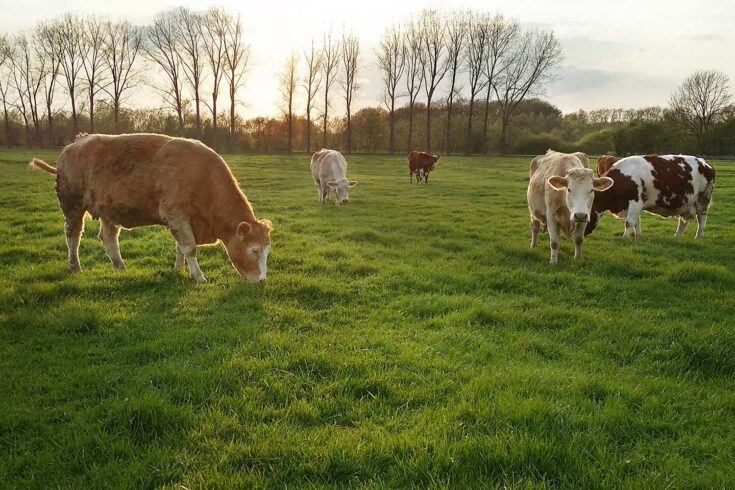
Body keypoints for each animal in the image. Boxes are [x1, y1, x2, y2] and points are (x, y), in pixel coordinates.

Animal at [29, 132, 274, 284]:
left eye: (267, 250)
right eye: (254, 250)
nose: (262, 280)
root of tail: (74, 144)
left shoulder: (182, 221)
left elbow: (180, 247)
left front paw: (178, 269)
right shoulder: (177, 215)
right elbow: (190, 248)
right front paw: (199, 276)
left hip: (107, 212)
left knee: (108, 239)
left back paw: (121, 267)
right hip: (72, 205)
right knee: (73, 236)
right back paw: (75, 267)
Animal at [584, 153, 716, 237]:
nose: (584, 233)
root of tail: (705, 163)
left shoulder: (635, 202)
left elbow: (629, 222)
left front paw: (625, 237)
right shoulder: (634, 205)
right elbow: (637, 221)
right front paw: (638, 236)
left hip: (703, 199)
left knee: (702, 219)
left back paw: (698, 237)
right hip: (685, 203)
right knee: (683, 221)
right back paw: (676, 236)